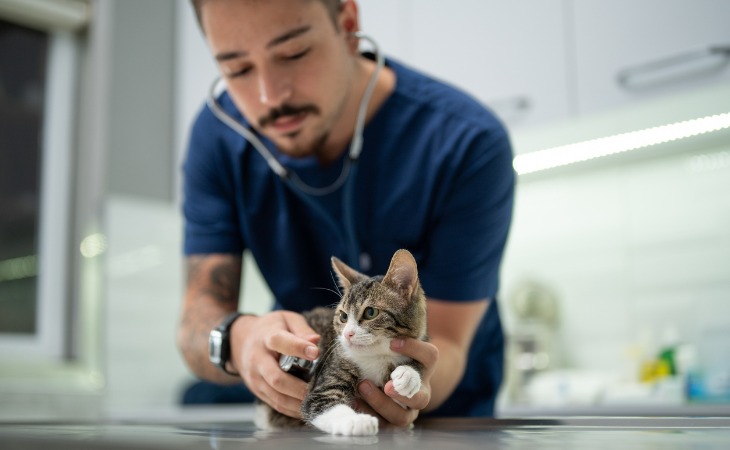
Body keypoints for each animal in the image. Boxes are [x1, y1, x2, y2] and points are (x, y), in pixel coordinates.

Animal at [255, 250, 426, 436]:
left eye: (371, 312)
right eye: (343, 316)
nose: (347, 334)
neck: (376, 356)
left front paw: (408, 375)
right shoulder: (327, 374)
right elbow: (322, 402)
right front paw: (357, 421)